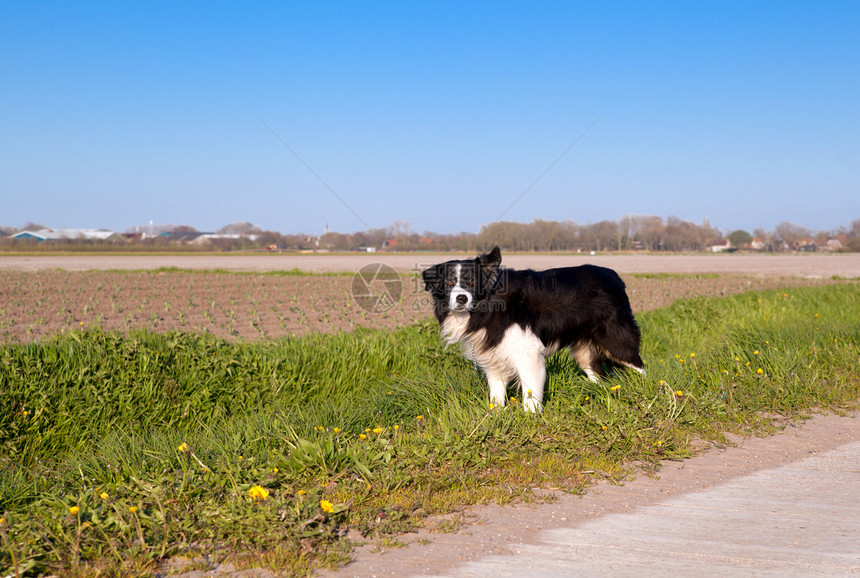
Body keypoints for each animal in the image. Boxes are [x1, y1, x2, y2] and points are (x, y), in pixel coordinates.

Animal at [424, 245, 644, 412]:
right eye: (449, 282)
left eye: (473, 282)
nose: (461, 298)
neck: (489, 305)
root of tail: (614, 276)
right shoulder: (494, 358)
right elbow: (496, 396)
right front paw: (495, 417)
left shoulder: (529, 353)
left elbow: (530, 395)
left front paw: (530, 418)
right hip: (584, 350)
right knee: (597, 374)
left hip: (616, 339)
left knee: (639, 366)